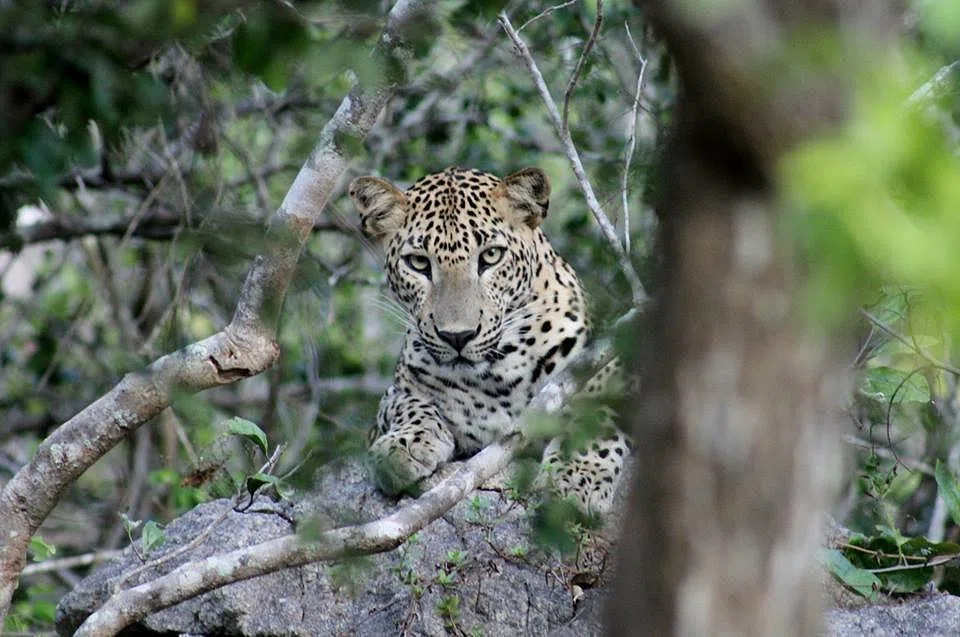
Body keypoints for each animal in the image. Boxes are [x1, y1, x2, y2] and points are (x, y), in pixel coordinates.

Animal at [349, 166, 629, 514]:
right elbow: (403, 400)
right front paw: (405, 445)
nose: (458, 336)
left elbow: (597, 410)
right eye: (418, 263)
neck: (500, 373)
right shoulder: (396, 400)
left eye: (492, 256)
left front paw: (578, 477)